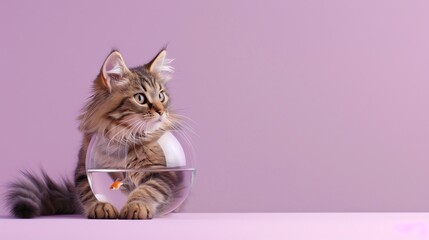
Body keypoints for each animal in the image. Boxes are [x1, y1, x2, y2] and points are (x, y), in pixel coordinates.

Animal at [5, 48, 182, 219]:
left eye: (161, 96)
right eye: (140, 98)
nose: (161, 111)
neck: (122, 135)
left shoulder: (160, 172)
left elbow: (147, 190)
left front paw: (137, 206)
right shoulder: (84, 167)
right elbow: (89, 191)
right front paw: (100, 206)